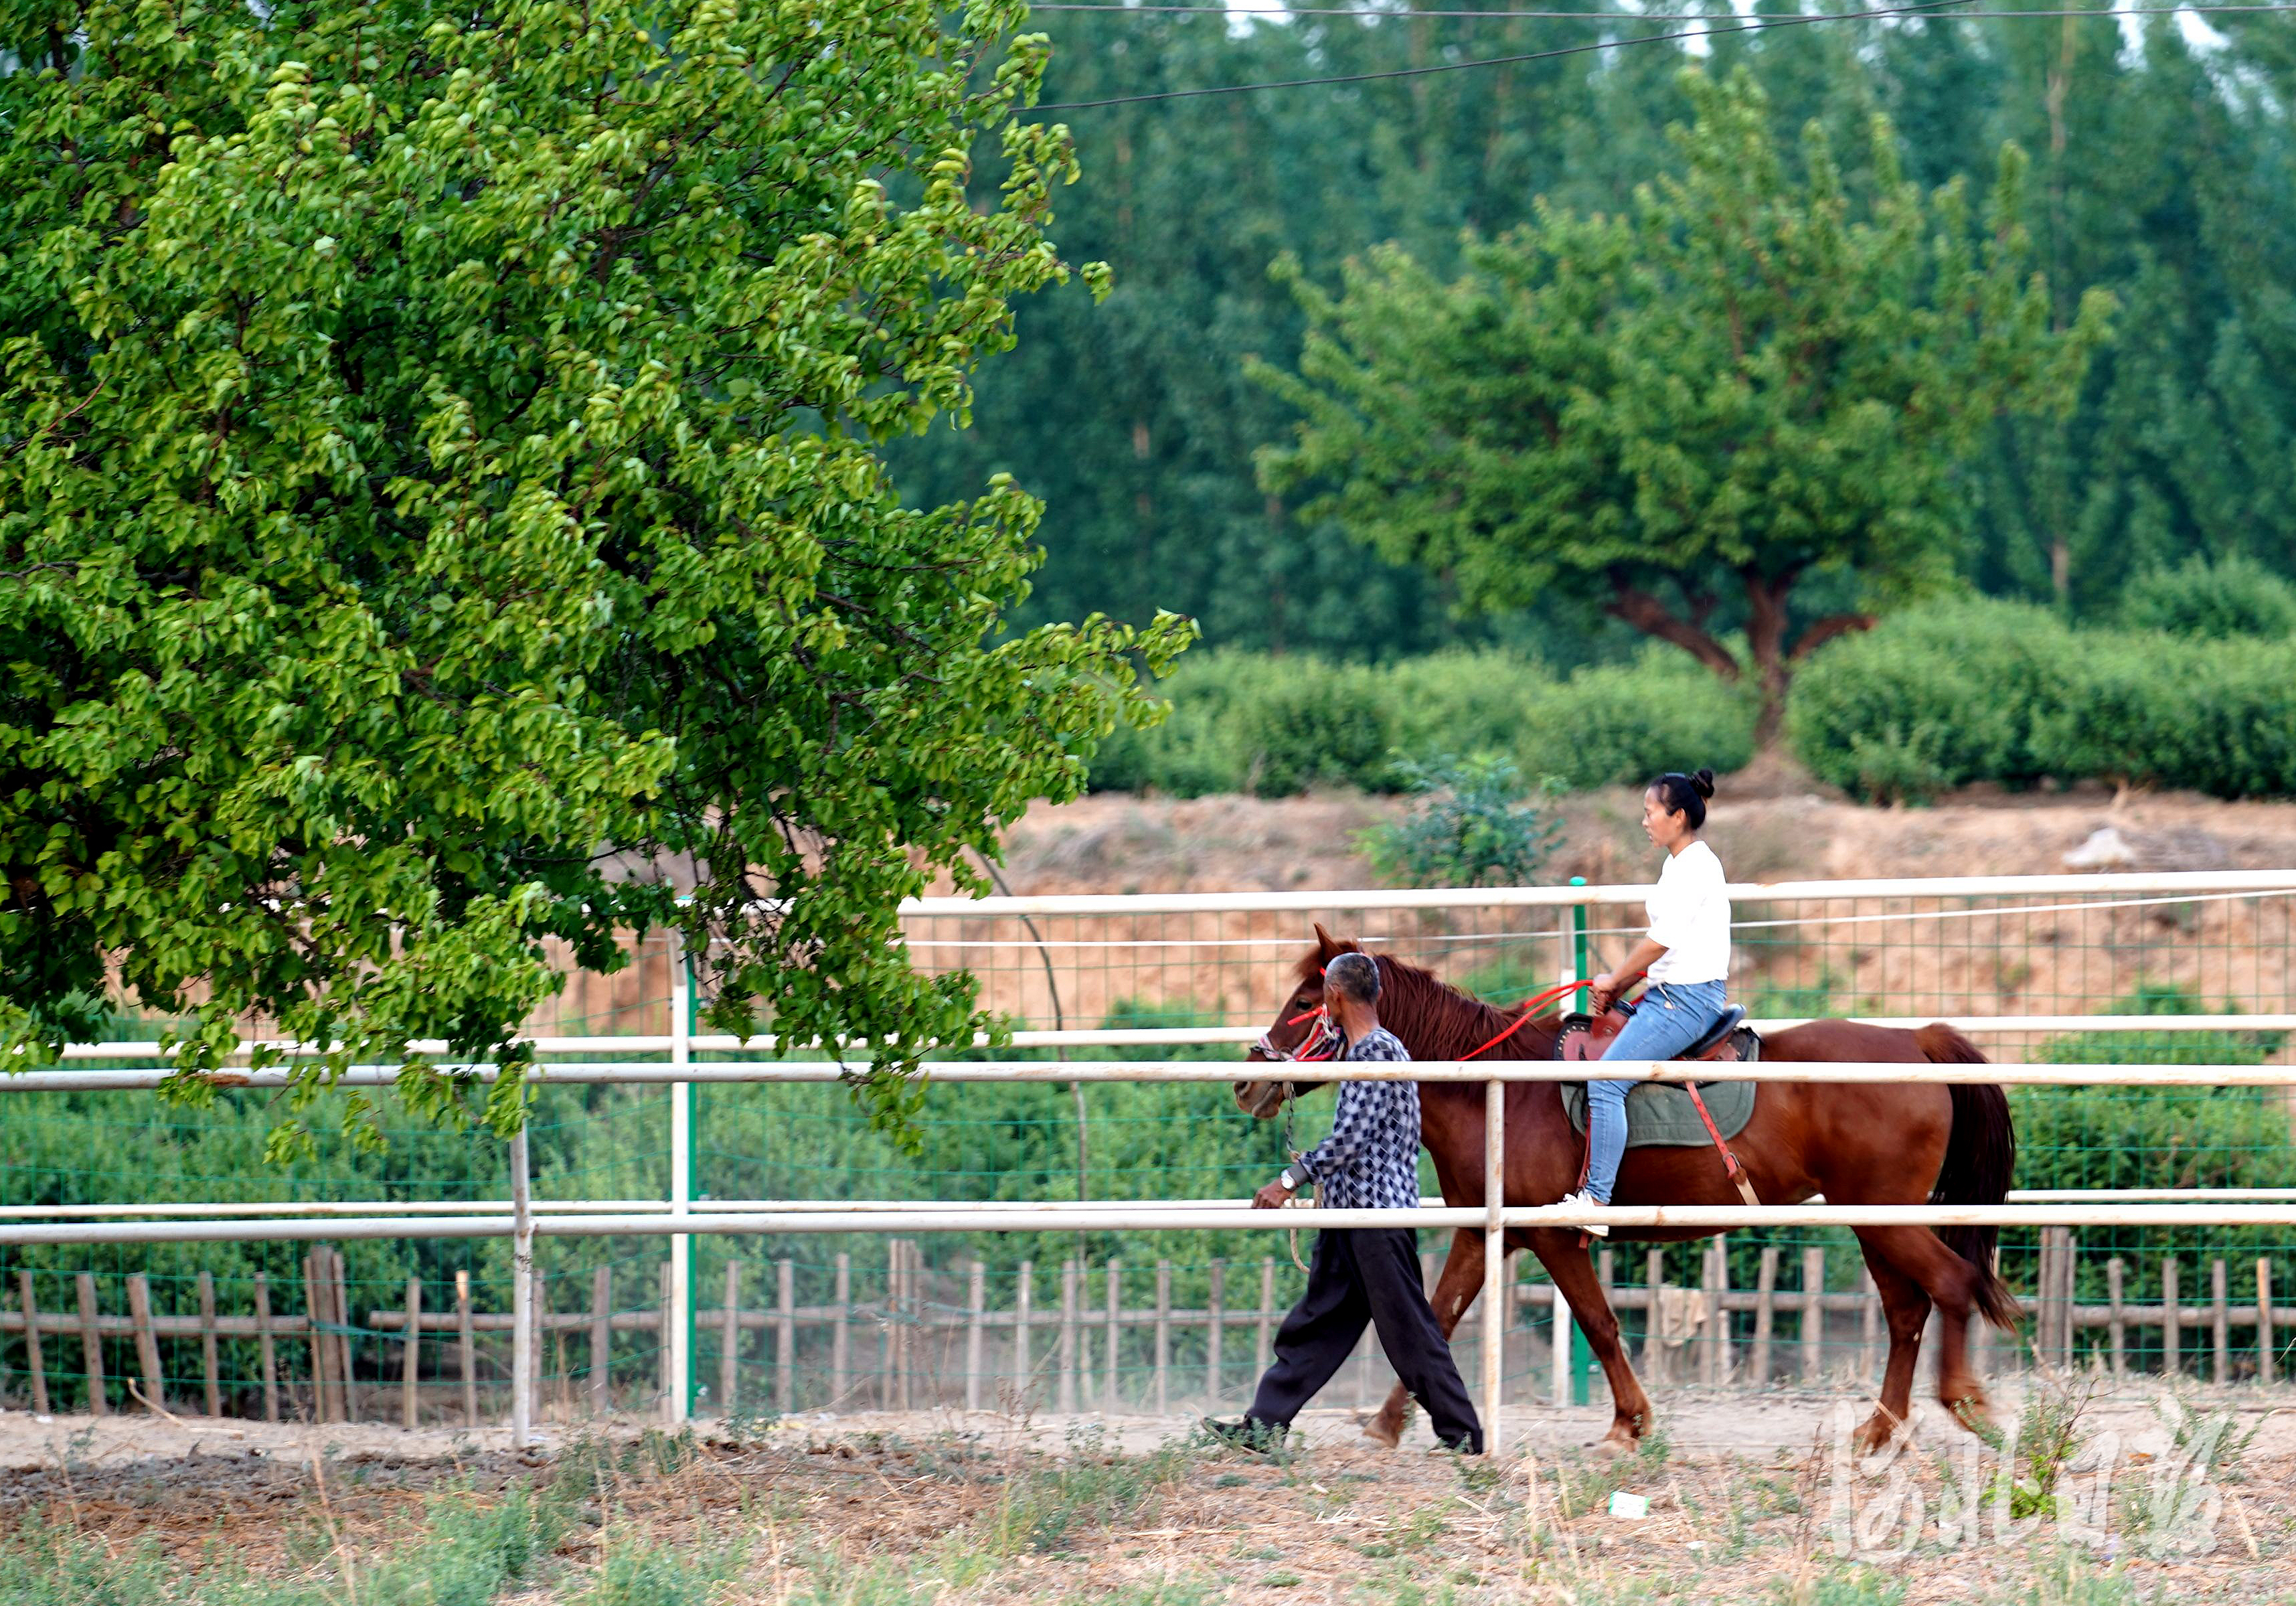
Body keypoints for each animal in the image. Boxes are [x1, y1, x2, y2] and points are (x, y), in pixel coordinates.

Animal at [1240, 918, 2011, 1461]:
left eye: (1305, 1000)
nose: (1251, 1078)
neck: (1497, 1090)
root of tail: (1916, 1041)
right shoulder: (1484, 1232)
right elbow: (1440, 1313)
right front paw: (1386, 1423)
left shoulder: (1554, 1237)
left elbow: (1600, 1324)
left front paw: (1626, 1424)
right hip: (1873, 1219)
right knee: (1907, 1311)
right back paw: (1879, 1431)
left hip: (1887, 1219)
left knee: (1950, 1284)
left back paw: (1965, 1404)